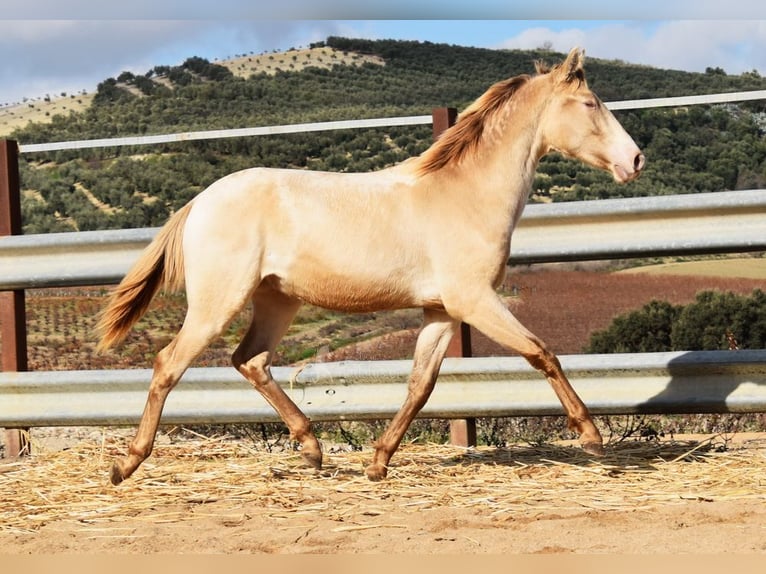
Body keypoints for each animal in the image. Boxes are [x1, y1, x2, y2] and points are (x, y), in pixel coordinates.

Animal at [97, 48, 648, 486]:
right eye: (590, 103)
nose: (637, 160)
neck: (466, 195)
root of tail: (200, 201)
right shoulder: (474, 299)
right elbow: (542, 353)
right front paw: (592, 437)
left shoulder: (441, 312)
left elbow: (421, 386)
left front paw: (378, 462)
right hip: (218, 301)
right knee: (169, 363)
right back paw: (126, 464)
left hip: (277, 299)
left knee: (250, 360)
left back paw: (312, 449)